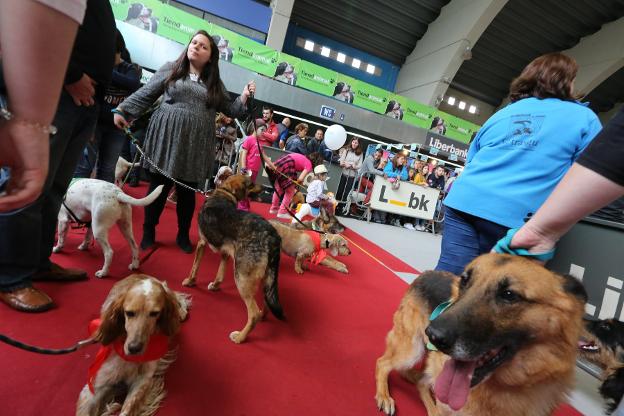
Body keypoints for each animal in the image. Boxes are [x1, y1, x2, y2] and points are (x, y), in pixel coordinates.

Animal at [75, 272, 189, 416]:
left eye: (154, 313)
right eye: (129, 313)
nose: (134, 348)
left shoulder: (142, 381)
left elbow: (127, 410)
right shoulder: (95, 387)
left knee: (177, 297)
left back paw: (181, 312)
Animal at [182, 174, 286, 342]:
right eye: (251, 184)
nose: (265, 188)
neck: (223, 194)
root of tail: (272, 235)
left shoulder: (201, 243)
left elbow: (194, 267)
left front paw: (189, 282)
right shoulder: (226, 252)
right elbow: (220, 272)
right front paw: (215, 285)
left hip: (242, 278)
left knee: (253, 314)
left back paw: (240, 337)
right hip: (266, 277)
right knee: (266, 302)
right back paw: (263, 316)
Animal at [372, 254, 588, 416]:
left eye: (509, 295)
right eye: (464, 281)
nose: (433, 335)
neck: (511, 385)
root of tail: (425, 274)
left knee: (419, 381)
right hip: (412, 350)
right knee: (384, 363)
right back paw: (384, 396)